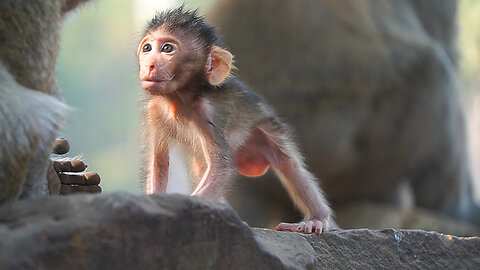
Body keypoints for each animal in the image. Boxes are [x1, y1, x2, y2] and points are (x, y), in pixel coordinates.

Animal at [138, 7, 334, 233]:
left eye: (167, 48)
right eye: (147, 48)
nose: (150, 65)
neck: (180, 100)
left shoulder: (208, 114)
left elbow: (221, 166)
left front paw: (191, 207)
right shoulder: (155, 111)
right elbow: (159, 162)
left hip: (264, 127)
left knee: (288, 165)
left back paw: (316, 218)